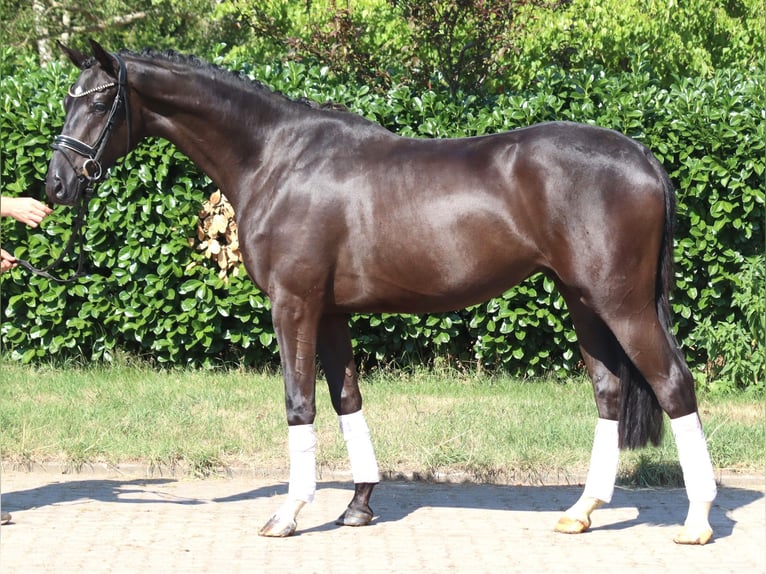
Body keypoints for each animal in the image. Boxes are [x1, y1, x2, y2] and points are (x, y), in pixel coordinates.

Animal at [45, 40, 717, 544]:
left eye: (101, 99)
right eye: (68, 97)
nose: (56, 185)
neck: (275, 157)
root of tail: (642, 157)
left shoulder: (293, 305)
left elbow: (300, 403)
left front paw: (287, 514)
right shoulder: (331, 312)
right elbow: (347, 398)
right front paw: (358, 506)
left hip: (624, 305)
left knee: (673, 386)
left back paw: (696, 522)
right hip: (585, 302)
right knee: (609, 392)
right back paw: (581, 511)